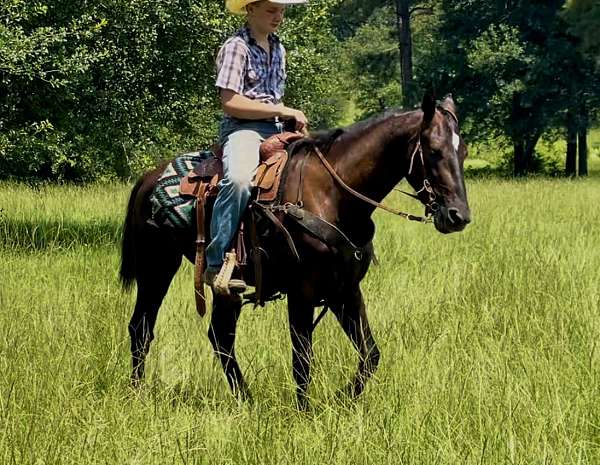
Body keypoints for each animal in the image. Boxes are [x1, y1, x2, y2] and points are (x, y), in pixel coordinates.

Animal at [119, 92, 472, 408]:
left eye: (464, 151)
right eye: (434, 151)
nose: (459, 216)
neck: (333, 195)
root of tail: (149, 178)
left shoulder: (345, 291)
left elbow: (370, 354)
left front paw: (343, 398)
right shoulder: (302, 292)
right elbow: (302, 360)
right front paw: (304, 413)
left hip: (223, 289)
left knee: (220, 336)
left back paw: (246, 400)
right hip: (157, 266)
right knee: (142, 327)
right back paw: (137, 393)